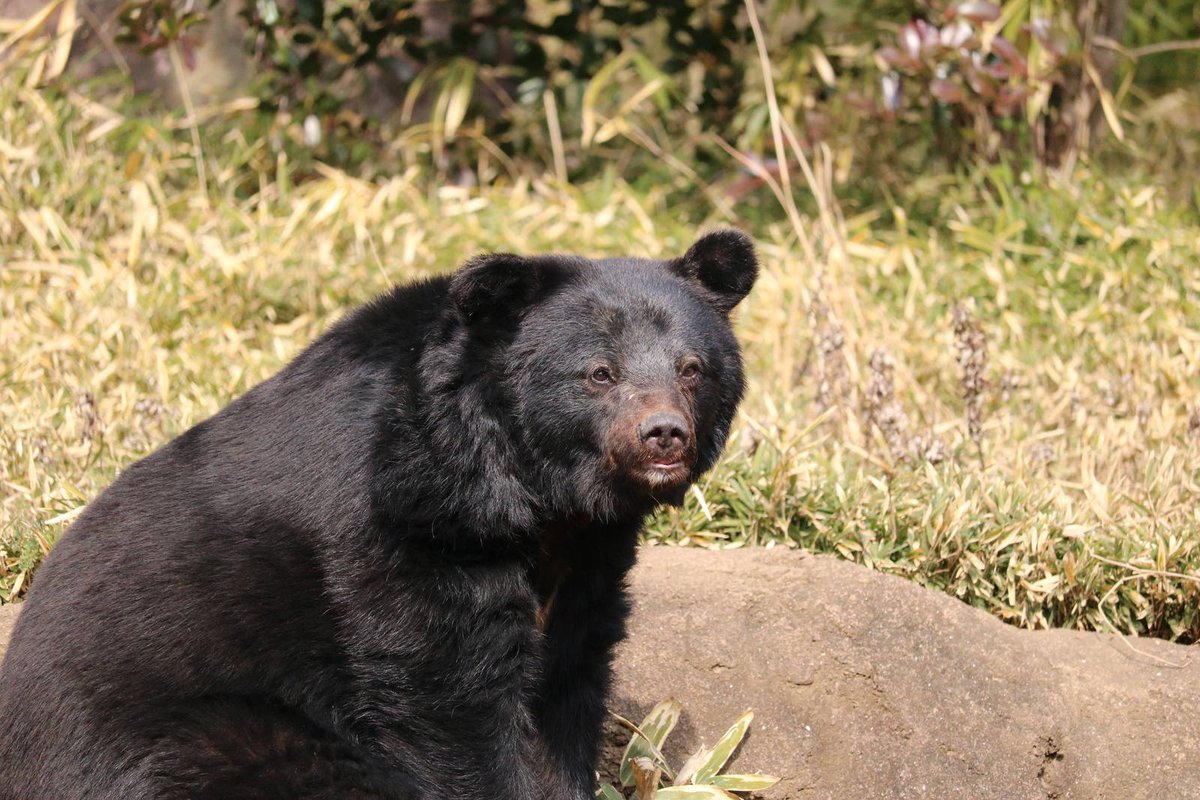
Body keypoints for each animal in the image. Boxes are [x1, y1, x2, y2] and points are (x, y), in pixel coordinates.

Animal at [0, 230, 758, 800]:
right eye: (599, 374)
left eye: (692, 369)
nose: (664, 436)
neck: (529, 489)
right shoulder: (405, 529)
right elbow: (448, 699)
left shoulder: (585, 560)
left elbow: (566, 684)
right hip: (203, 737)